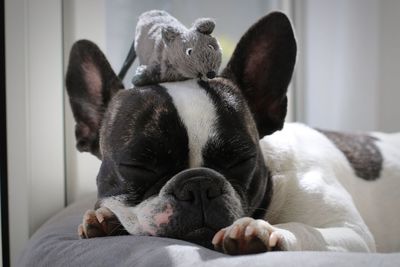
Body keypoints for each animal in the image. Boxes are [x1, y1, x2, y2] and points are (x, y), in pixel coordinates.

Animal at [65, 12, 400, 255]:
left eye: (242, 160)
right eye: (137, 166)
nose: (198, 185)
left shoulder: (351, 233)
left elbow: (306, 231)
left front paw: (263, 232)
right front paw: (104, 219)